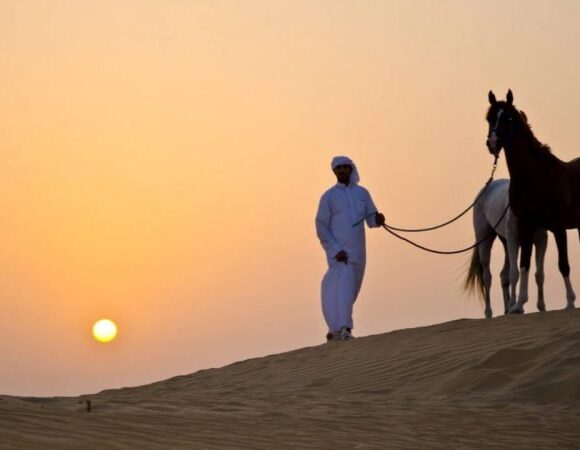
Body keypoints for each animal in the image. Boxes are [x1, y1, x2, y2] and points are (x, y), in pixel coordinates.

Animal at [484, 91, 580, 312]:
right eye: (490, 118)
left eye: (509, 118)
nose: (492, 143)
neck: (536, 176)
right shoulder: (526, 227)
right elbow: (524, 264)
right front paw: (519, 304)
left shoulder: (558, 227)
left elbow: (563, 264)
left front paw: (570, 301)